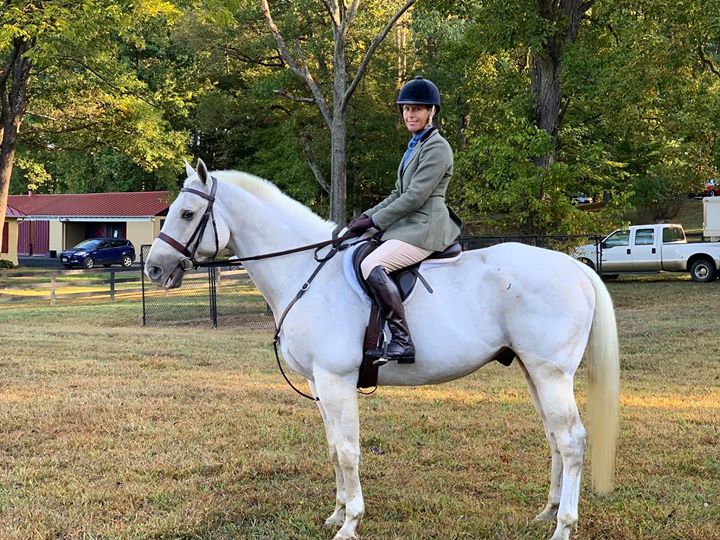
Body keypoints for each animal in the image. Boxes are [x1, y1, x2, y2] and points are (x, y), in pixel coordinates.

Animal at [144, 159, 619, 540]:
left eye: (187, 213)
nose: (153, 268)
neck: (307, 274)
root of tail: (574, 266)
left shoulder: (336, 380)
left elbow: (348, 450)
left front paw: (351, 523)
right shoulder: (320, 384)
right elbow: (334, 448)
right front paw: (336, 515)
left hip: (551, 374)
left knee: (571, 440)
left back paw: (564, 527)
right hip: (532, 371)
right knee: (554, 438)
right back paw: (548, 512)